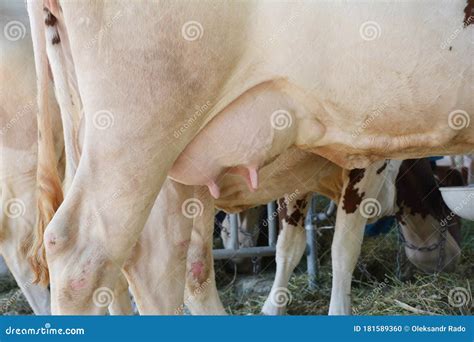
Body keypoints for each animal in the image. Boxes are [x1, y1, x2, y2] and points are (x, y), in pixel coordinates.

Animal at [27, 0, 472, 316]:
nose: (452, 257)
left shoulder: (298, 180)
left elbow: (290, 246)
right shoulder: (363, 159)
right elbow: (344, 249)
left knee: (166, 265)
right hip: (138, 129)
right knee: (84, 258)